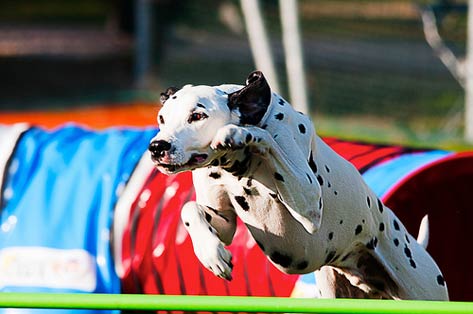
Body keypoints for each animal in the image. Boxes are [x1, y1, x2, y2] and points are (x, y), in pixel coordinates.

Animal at [149, 70, 448, 300]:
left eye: (197, 116)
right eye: (162, 118)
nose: (157, 147)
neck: (237, 167)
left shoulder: (308, 202)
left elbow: (265, 138)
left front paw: (239, 132)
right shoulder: (223, 221)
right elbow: (190, 210)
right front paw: (211, 254)